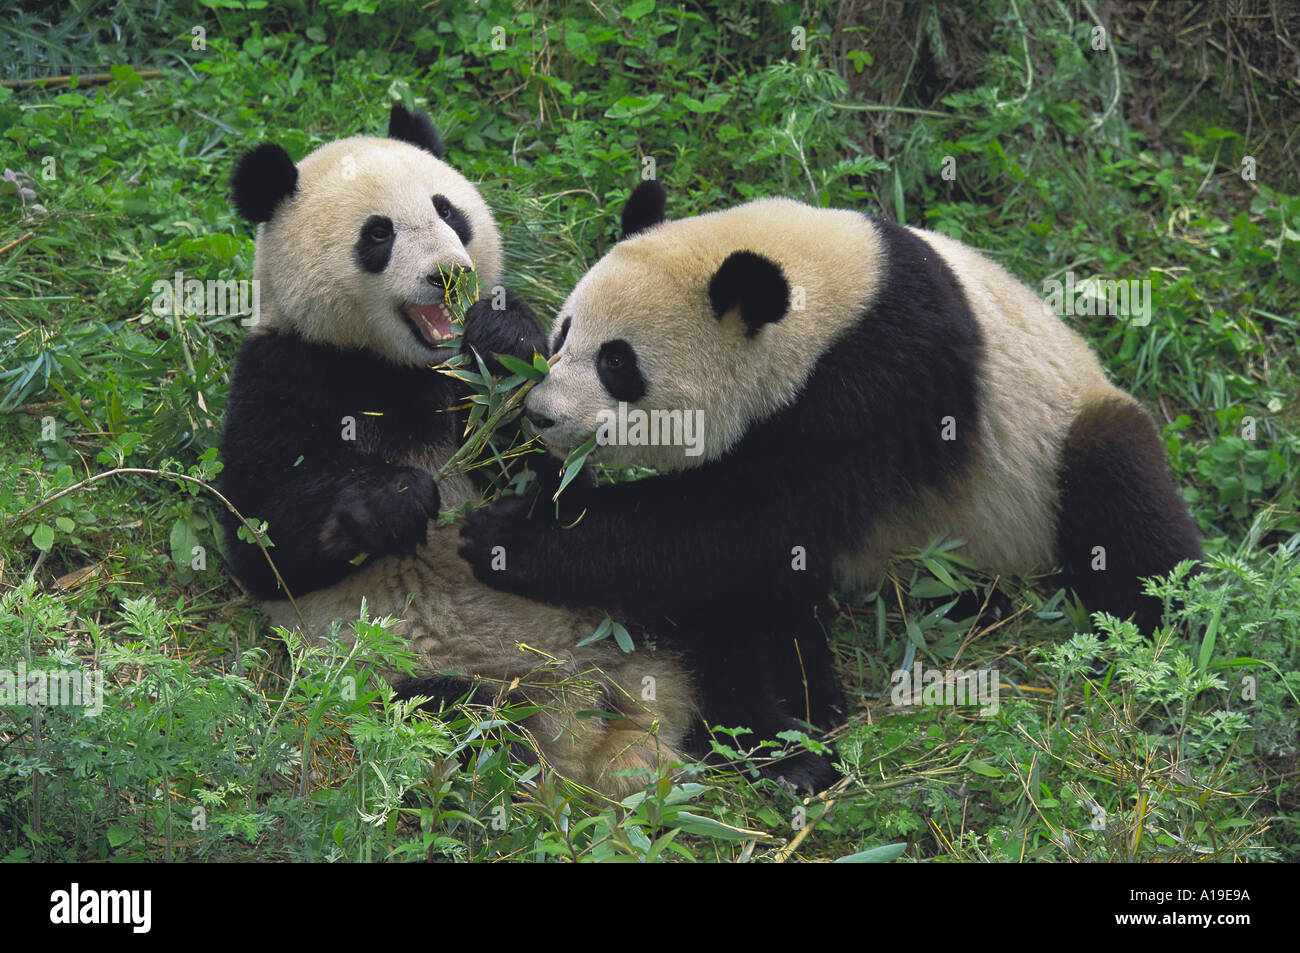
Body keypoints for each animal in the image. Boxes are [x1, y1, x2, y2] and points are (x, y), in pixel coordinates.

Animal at [217, 109, 696, 797]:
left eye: (449, 211)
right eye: (378, 234)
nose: (449, 272)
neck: (399, 367)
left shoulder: (484, 389)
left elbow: (555, 480)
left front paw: (499, 334)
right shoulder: (283, 371)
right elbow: (263, 541)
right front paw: (396, 498)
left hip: (626, 614)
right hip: (423, 677)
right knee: (457, 731)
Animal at [459, 180, 1205, 749]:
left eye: (619, 363)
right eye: (565, 331)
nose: (544, 414)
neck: (829, 299)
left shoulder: (875, 388)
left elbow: (741, 526)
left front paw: (512, 535)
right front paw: (497, 343)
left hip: (1046, 460)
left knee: (1125, 501)